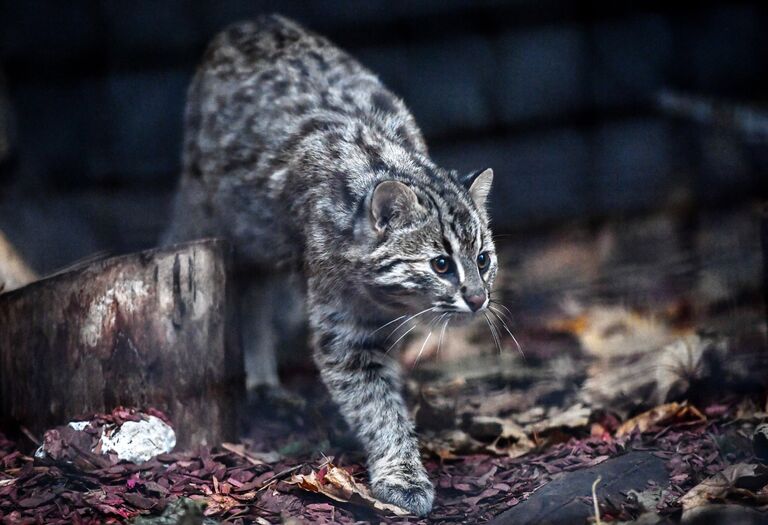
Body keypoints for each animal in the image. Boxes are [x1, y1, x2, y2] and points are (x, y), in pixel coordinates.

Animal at [163, 14, 498, 512]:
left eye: (482, 259)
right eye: (440, 264)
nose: (478, 299)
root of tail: (252, 20)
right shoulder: (343, 334)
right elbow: (376, 404)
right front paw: (402, 475)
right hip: (222, 211)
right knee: (248, 287)